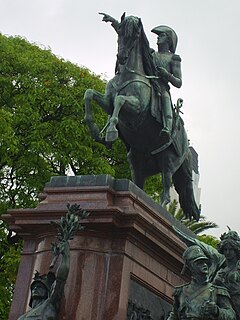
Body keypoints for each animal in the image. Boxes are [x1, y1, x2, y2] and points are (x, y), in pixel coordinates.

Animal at [83, 13, 200, 221]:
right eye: (120, 32)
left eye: (134, 35)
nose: (121, 57)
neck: (128, 75)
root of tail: (187, 149)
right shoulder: (106, 101)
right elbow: (89, 94)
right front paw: (95, 131)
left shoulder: (136, 110)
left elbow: (120, 100)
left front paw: (111, 131)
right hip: (136, 161)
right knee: (138, 184)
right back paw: (135, 195)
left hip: (169, 161)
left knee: (166, 186)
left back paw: (161, 209)